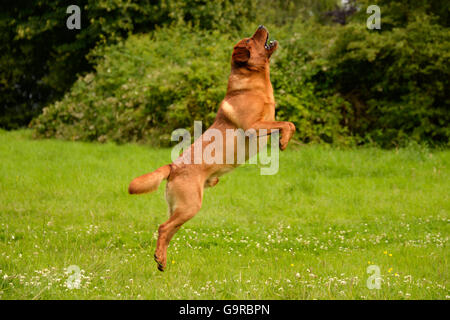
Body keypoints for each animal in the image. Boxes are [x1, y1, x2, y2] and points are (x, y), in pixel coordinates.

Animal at [128, 25, 296, 270]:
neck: (255, 84)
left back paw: (161, 260)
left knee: (167, 232)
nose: (261, 26)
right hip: (190, 206)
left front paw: (283, 140)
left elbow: (287, 123)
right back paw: (160, 258)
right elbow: (287, 123)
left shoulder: (265, 126)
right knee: (163, 227)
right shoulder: (253, 126)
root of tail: (172, 167)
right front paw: (284, 142)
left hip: (181, 210)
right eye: (250, 39)